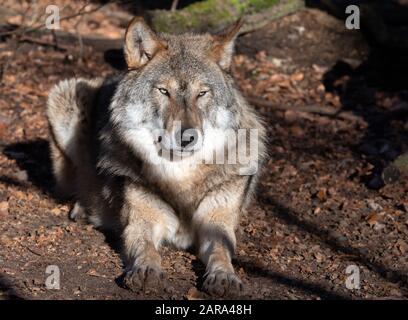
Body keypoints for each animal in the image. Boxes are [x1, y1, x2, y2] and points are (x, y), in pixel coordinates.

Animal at [46, 16, 266, 298]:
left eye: (202, 93)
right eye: (163, 91)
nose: (187, 137)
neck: (180, 178)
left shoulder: (217, 224)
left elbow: (221, 251)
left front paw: (224, 276)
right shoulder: (142, 222)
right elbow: (145, 247)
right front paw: (147, 271)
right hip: (64, 95)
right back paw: (84, 208)